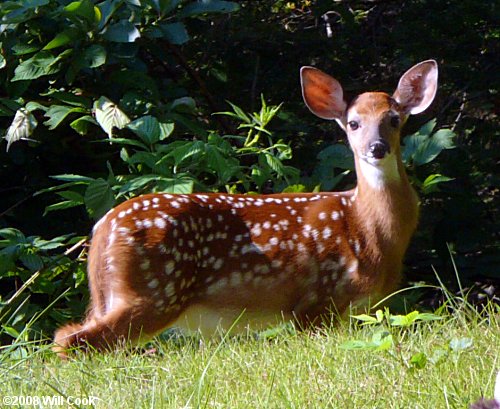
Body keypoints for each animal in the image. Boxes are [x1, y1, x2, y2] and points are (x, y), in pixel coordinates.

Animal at [53, 59, 438, 356]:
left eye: (393, 119)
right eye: (354, 123)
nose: (376, 148)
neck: (363, 228)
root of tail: (103, 228)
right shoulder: (316, 303)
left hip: (114, 296)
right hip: (154, 290)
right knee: (72, 340)